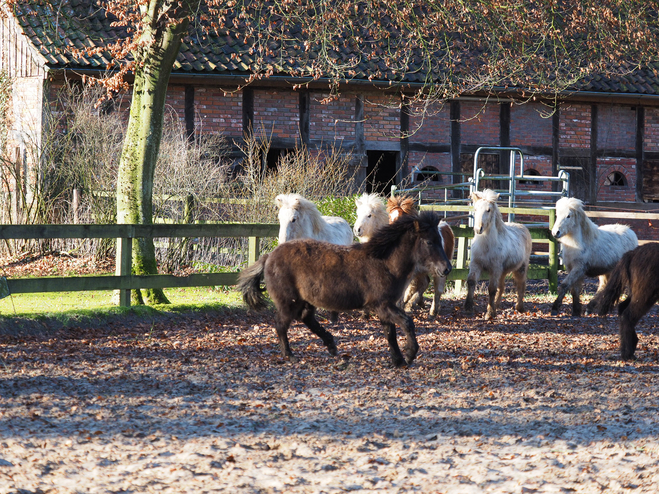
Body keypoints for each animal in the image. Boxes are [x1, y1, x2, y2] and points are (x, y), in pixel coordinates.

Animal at [238, 212, 454, 366]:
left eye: (440, 240)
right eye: (429, 241)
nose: (447, 268)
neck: (384, 263)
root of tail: (269, 256)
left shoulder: (385, 307)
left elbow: (390, 334)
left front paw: (398, 360)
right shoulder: (382, 305)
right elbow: (407, 323)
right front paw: (409, 356)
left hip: (305, 300)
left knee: (306, 318)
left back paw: (331, 346)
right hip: (288, 301)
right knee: (281, 324)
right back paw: (289, 355)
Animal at [466, 189, 532, 320]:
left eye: (488, 210)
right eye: (475, 209)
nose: (478, 229)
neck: (486, 245)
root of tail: (523, 227)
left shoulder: (495, 269)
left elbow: (492, 289)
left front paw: (489, 314)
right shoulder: (476, 264)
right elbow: (471, 282)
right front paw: (468, 307)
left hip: (520, 268)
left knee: (521, 285)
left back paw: (519, 307)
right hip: (503, 271)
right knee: (502, 287)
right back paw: (496, 306)